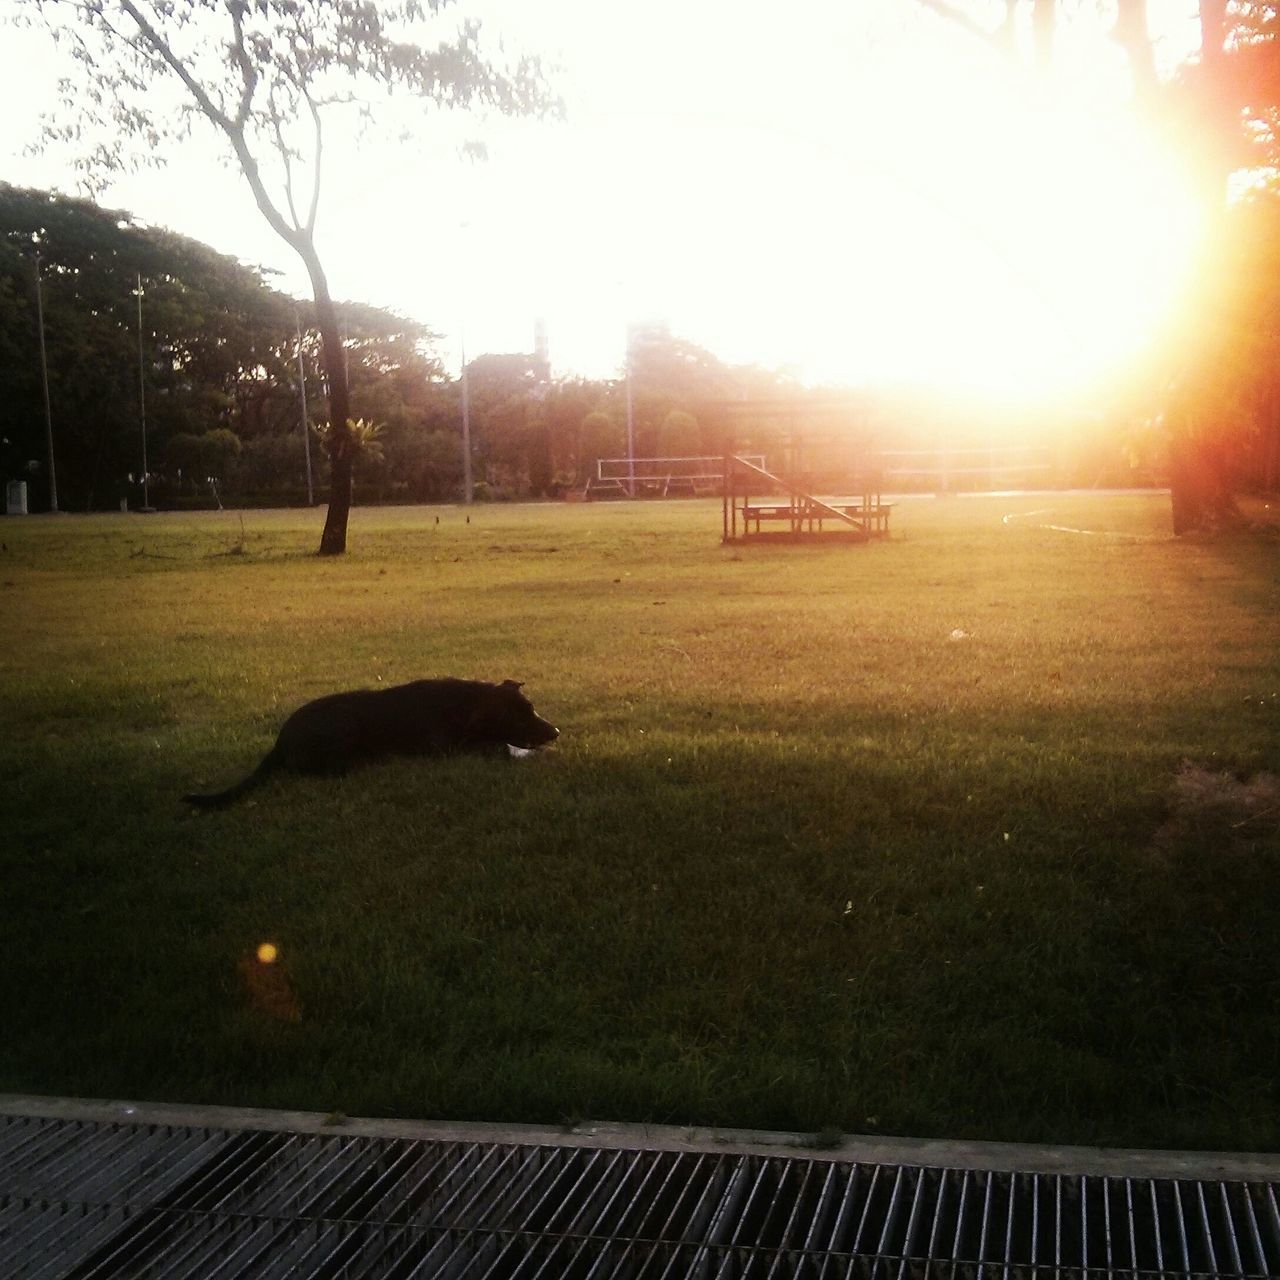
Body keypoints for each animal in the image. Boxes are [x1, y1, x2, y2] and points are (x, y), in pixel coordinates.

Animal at [183, 680, 558, 808]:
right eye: (521, 716)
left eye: (532, 707)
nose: (555, 732)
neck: (465, 707)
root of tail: (279, 742)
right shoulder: (444, 750)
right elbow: (493, 746)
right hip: (343, 725)